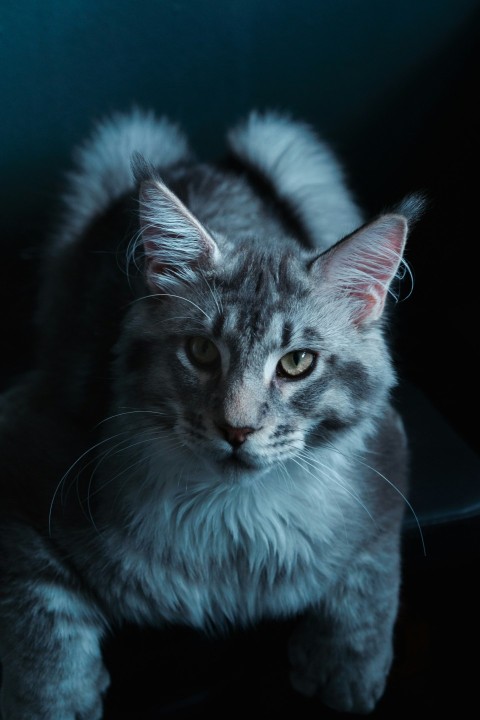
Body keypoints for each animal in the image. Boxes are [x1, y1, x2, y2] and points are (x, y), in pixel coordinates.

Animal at [0, 104, 420, 716]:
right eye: (201, 352)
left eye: (296, 363)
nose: (237, 429)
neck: (233, 524)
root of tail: (203, 161)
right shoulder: (28, 445)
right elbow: (37, 621)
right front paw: (58, 699)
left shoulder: (388, 456)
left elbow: (371, 580)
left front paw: (343, 671)